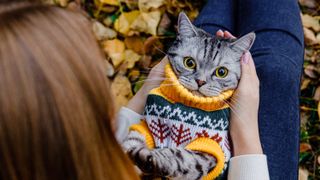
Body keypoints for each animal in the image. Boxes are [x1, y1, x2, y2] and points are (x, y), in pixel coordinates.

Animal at [122, 11, 255, 179]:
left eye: (221, 72)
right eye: (189, 63)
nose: (200, 81)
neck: (188, 104)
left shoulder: (210, 149)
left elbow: (178, 156)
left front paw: (151, 158)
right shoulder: (145, 126)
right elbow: (132, 139)